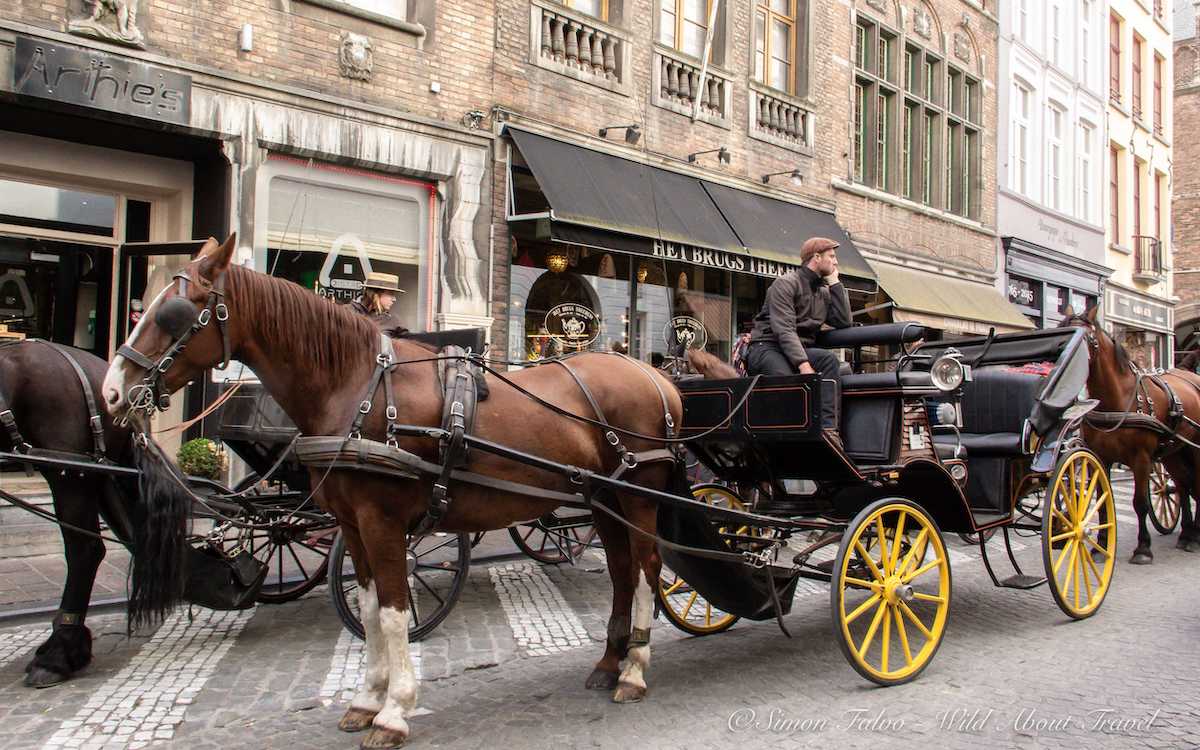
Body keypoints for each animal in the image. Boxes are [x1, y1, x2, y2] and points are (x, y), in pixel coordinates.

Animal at [105, 236, 686, 744]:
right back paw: (608, 663)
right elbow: (366, 610)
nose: (112, 391)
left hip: (639, 494)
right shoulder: (352, 524)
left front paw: (393, 711)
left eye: (175, 314)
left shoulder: (381, 521)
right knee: (622, 569)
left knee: (648, 567)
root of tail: (656, 377)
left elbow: (392, 609)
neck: (354, 386)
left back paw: (634, 669)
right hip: (603, 498)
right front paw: (365, 700)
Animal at [1065, 306, 1200, 561]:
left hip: (1190, 448)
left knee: (1193, 484)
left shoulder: (1142, 458)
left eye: (1086, 338)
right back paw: (1187, 534)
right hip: (1173, 452)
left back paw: (1193, 536)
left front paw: (1143, 548)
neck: (1116, 400)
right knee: (1183, 484)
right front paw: (1101, 546)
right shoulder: (1101, 457)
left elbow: (1140, 503)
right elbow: (1103, 502)